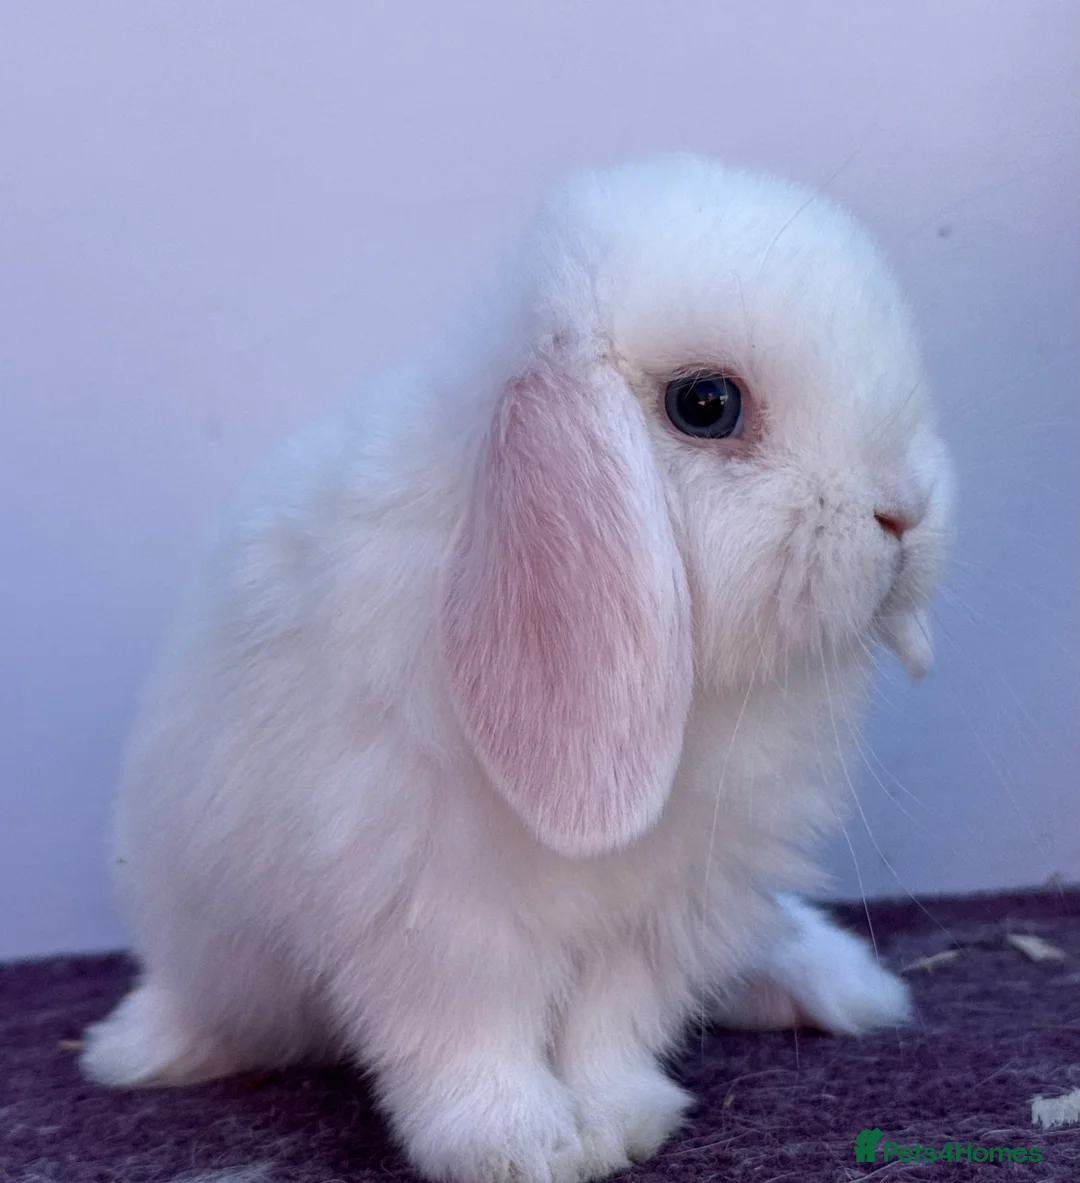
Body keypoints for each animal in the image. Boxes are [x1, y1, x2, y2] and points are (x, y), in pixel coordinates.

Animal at [82, 154, 954, 1183]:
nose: (906, 511)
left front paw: (620, 1121)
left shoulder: (661, 915)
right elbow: (472, 1038)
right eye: (707, 405)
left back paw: (841, 986)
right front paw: (519, 1145)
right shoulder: (434, 917)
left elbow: (612, 1026)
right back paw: (143, 1046)